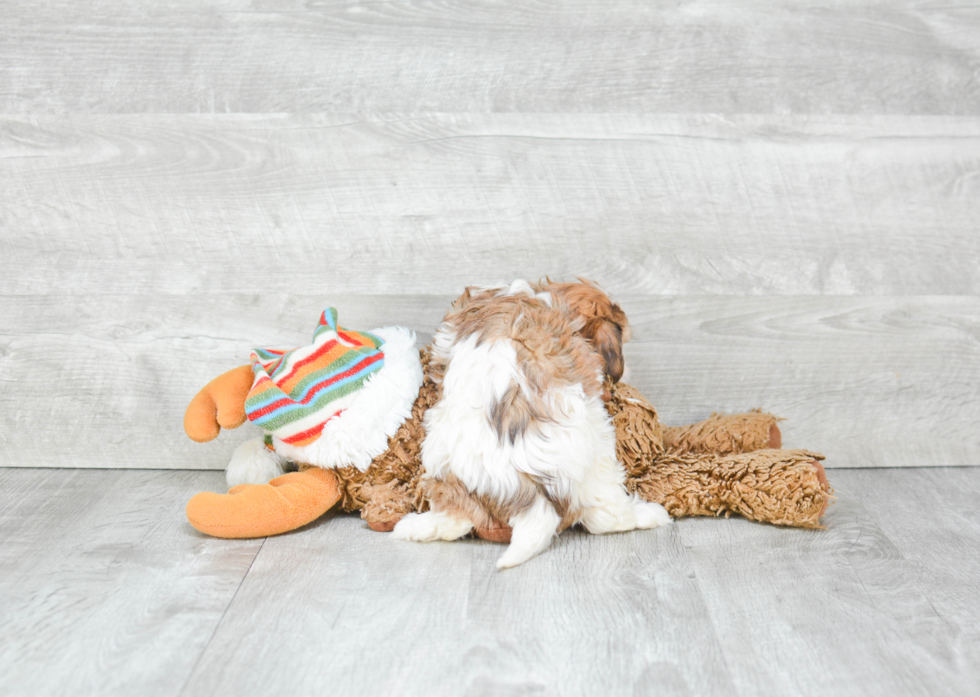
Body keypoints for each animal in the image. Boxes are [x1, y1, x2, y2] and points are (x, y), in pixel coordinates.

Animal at [392, 280, 672, 568]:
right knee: (606, 516)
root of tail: (530, 498)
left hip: (443, 461)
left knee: (455, 518)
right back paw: (649, 514)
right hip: (599, 451)